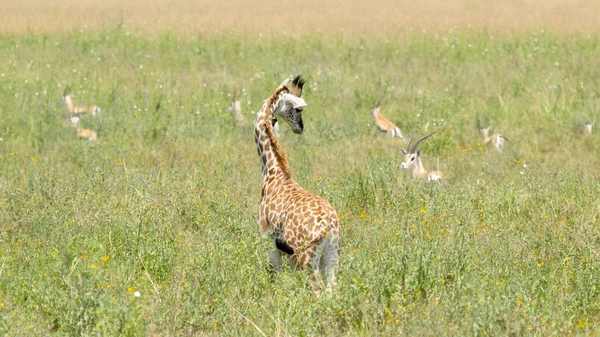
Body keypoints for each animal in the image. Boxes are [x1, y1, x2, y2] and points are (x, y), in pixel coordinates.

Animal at [253, 75, 342, 296]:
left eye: (299, 109)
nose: (300, 128)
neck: (273, 173)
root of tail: (330, 226)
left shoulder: (266, 237)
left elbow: (273, 277)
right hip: (332, 256)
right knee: (332, 289)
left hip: (307, 259)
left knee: (317, 290)